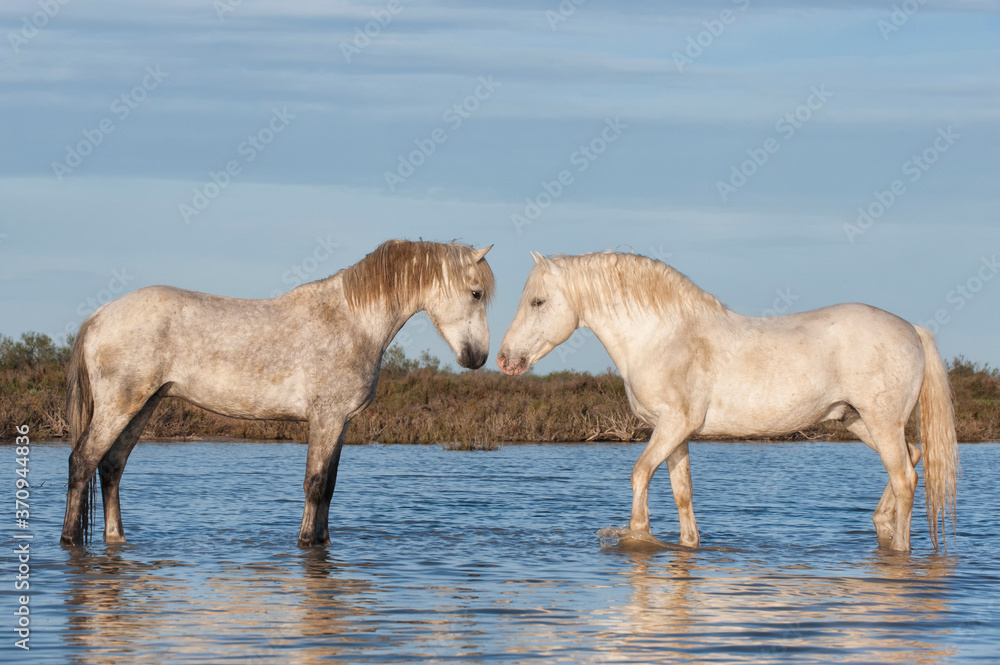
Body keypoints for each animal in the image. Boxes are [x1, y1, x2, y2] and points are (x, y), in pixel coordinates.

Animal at [61, 239, 495, 547]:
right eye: (476, 293)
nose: (478, 357)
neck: (352, 321)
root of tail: (98, 316)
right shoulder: (325, 419)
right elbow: (315, 484)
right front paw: (306, 542)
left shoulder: (340, 424)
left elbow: (329, 487)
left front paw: (323, 540)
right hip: (120, 405)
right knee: (83, 461)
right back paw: (69, 539)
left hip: (144, 405)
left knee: (111, 466)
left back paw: (116, 538)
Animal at [496, 251, 958, 552]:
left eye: (538, 301)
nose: (504, 359)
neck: (663, 337)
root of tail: (912, 329)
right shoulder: (675, 433)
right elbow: (682, 493)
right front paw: (688, 544)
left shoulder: (673, 426)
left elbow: (640, 474)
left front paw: (638, 534)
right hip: (858, 421)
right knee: (912, 458)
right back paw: (881, 526)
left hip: (881, 421)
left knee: (905, 478)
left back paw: (900, 548)